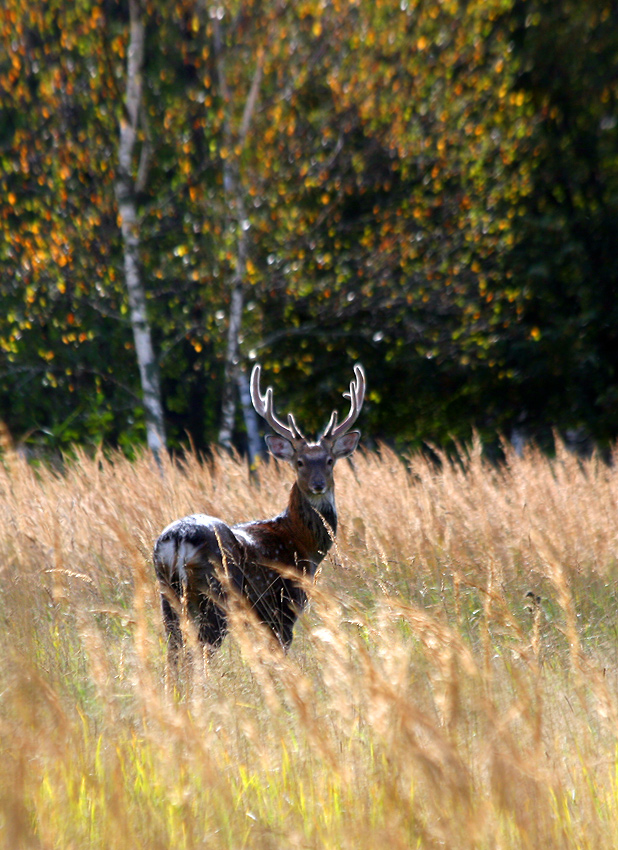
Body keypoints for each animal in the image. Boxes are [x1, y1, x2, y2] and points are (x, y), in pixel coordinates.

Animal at [153, 362, 364, 652]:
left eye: (329, 460)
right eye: (299, 462)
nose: (318, 484)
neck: (303, 544)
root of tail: (178, 538)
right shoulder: (284, 605)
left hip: (167, 590)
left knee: (174, 649)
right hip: (216, 590)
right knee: (204, 647)